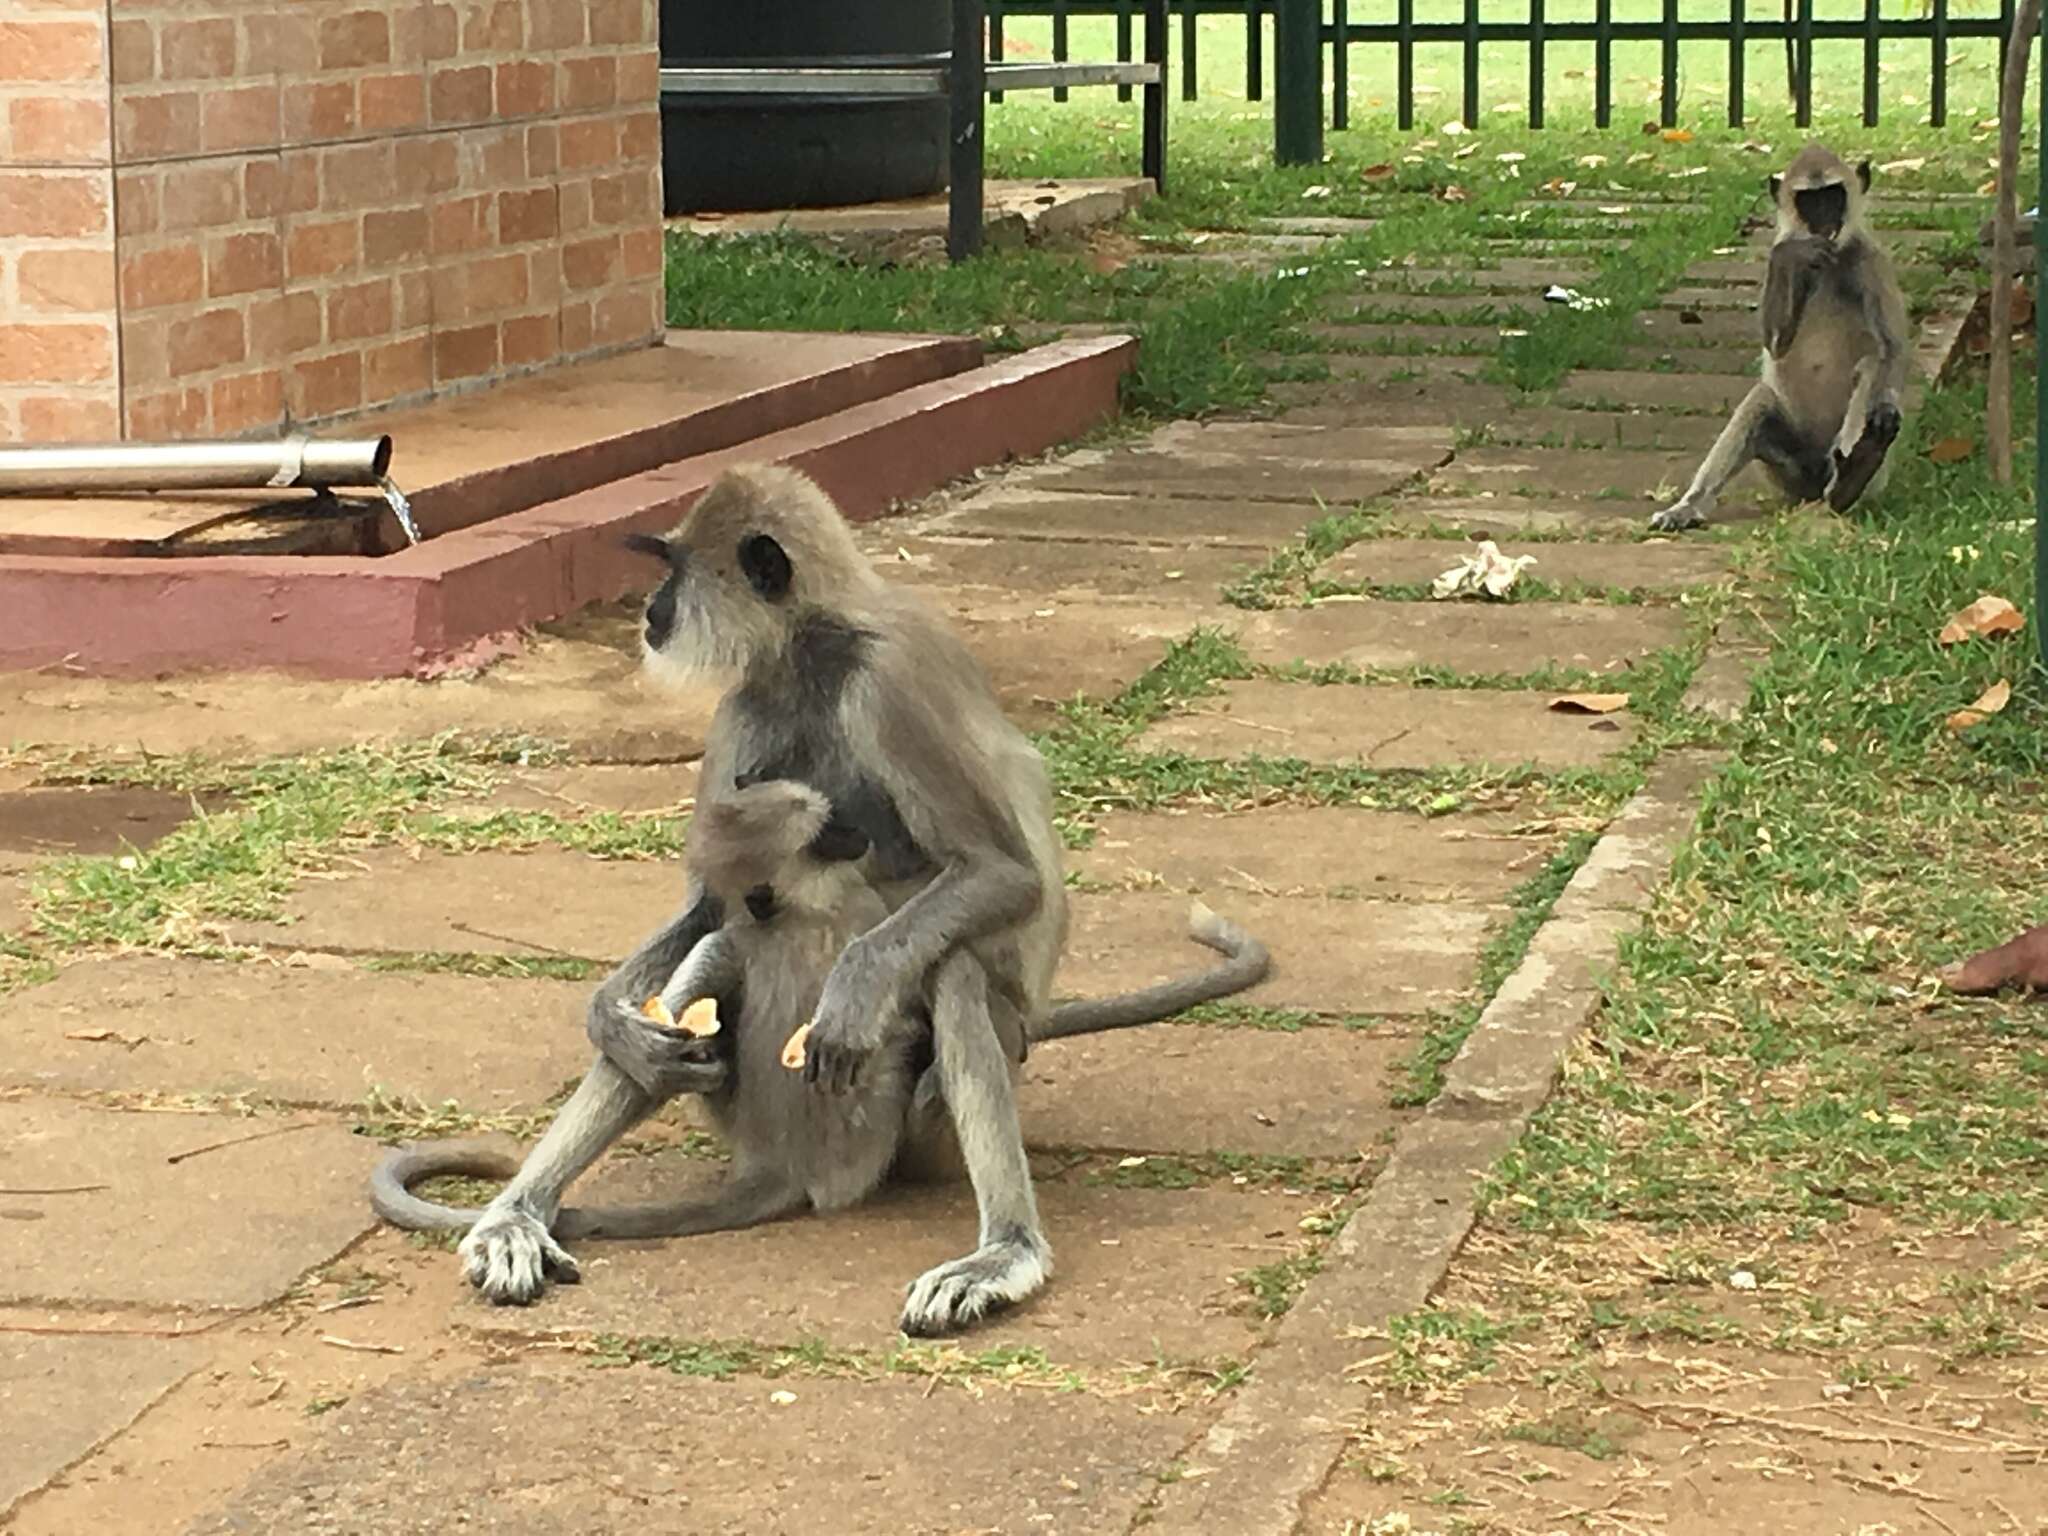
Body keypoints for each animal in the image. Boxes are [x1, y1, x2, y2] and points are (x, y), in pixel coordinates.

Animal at [368, 462, 1261, 1343]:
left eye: (674, 571)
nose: (651, 611)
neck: (815, 650)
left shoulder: (885, 684)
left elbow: (1004, 874)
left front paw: (852, 992)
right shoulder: (748, 704)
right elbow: (708, 906)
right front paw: (611, 1020)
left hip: (924, 1119)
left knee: (955, 969)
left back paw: (1005, 1252)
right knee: (714, 967)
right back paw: (516, 1214)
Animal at [1638, 141, 1908, 536]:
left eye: (1833, 196)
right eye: (1809, 201)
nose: (1824, 221)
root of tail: (1813, 483)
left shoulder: (1870, 261)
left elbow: (1890, 350)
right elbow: (1776, 345)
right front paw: (1793, 256)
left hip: (1865, 472)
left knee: (1871, 370)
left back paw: (1850, 480)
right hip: (1784, 470)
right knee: (1761, 400)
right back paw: (1689, 505)